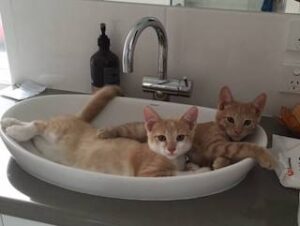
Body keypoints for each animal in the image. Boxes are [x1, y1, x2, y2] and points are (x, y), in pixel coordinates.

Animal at [1, 86, 204, 177]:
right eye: (161, 138)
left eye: (180, 137)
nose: (171, 148)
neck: (173, 160)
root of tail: (80, 119)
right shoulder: (148, 174)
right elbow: (177, 174)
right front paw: (198, 170)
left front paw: (192, 166)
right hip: (56, 131)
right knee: (38, 124)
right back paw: (16, 130)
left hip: (48, 145)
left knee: (37, 129)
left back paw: (9, 122)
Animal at [97, 86, 276, 170]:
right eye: (230, 119)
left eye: (247, 122)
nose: (238, 131)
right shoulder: (216, 145)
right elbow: (243, 146)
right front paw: (266, 156)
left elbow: (229, 155)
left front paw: (221, 161)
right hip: (137, 130)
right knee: (124, 128)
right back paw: (106, 131)